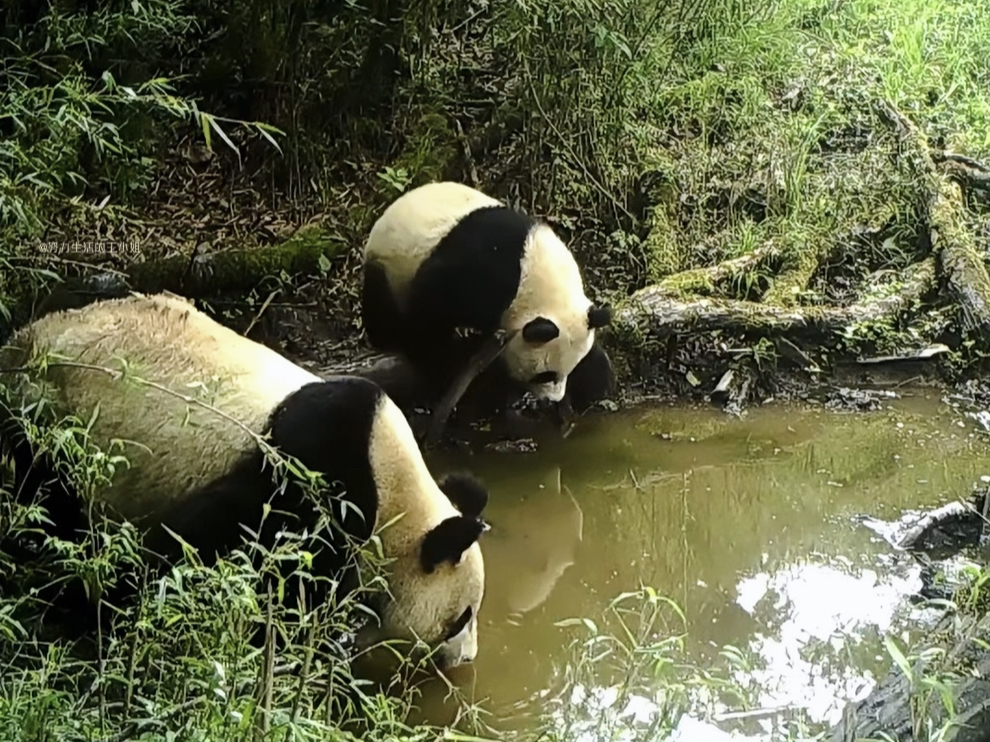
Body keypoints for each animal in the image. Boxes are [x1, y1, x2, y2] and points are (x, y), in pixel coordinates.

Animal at [0, 290, 492, 668]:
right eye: (462, 617)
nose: (466, 658)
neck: (395, 487)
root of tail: (22, 342)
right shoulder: (317, 469)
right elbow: (220, 538)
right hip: (55, 414)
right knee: (52, 501)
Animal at [360, 183, 616, 444]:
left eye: (569, 371)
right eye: (545, 375)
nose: (552, 399)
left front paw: (595, 380)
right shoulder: (483, 277)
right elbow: (432, 306)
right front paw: (442, 364)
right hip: (389, 267)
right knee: (382, 305)